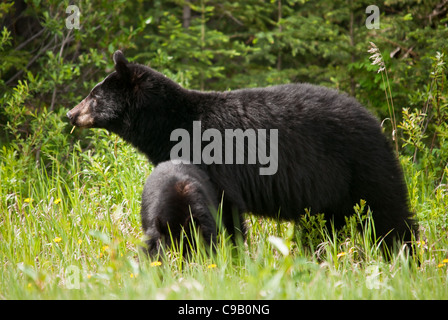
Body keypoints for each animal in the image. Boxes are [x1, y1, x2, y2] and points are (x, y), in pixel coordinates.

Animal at [68, 50, 418, 250]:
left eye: (94, 95)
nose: (70, 113)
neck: (173, 123)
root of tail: (373, 119)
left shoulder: (215, 163)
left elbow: (226, 211)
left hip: (361, 165)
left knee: (390, 215)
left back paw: (406, 259)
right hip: (329, 192)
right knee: (323, 227)